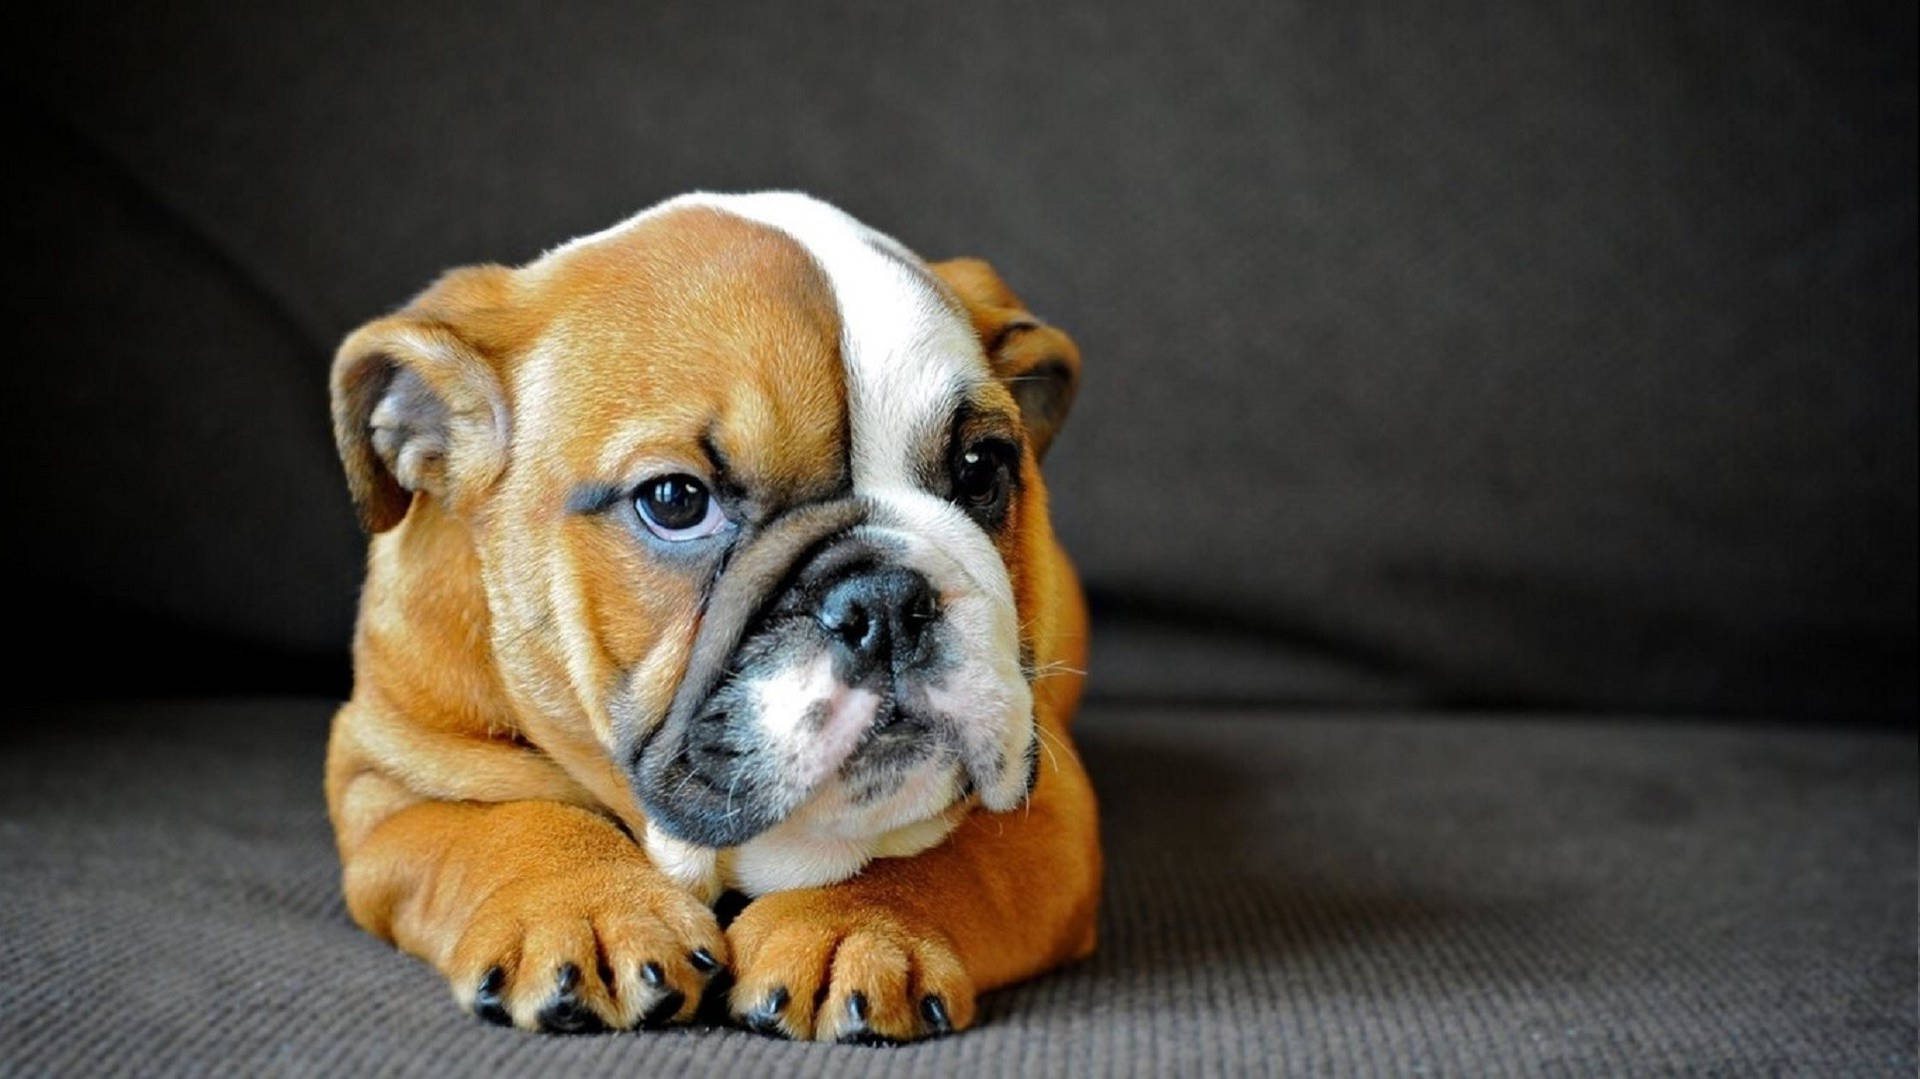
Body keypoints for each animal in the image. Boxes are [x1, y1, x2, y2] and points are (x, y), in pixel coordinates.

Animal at [330, 189, 1098, 1036]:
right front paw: (584, 905)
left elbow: (940, 861)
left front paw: (853, 924)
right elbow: (504, 823)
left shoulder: (1050, 807)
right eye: (674, 500)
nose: (887, 600)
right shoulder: (385, 782)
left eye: (981, 468)